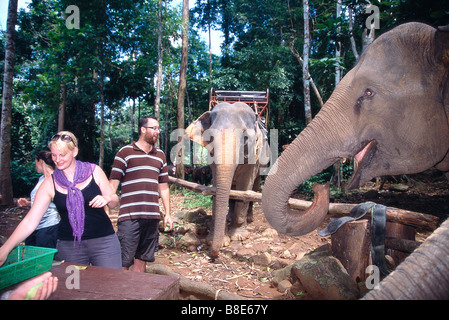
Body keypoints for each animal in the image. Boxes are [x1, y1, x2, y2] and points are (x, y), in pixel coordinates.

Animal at [185, 102, 268, 258]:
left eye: (245, 138)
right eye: (210, 136)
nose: (213, 254)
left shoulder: (253, 155)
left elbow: (244, 186)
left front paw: (238, 237)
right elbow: (217, 185)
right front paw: (219, 241)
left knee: (254, 187)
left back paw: (249, 219)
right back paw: (229, 217)